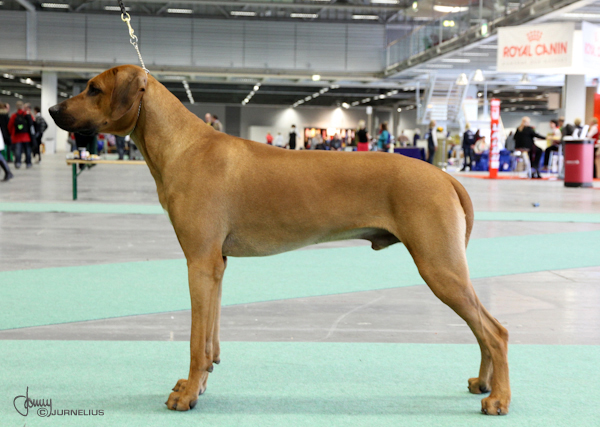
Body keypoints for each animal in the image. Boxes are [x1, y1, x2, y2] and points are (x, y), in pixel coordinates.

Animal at [49, 65, 510, 416]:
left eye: (93, 89)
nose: (52, 109)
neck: (184, 146)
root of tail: (445, 175)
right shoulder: (216, 265)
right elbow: (211, 336)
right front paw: (201, 383)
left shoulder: (199, 262)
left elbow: (197, 341)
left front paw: (188, 394)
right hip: (447, 269)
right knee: (484, 327)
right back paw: (484, 383)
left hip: (439, 267)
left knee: (496, 331)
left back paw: (500, 399)